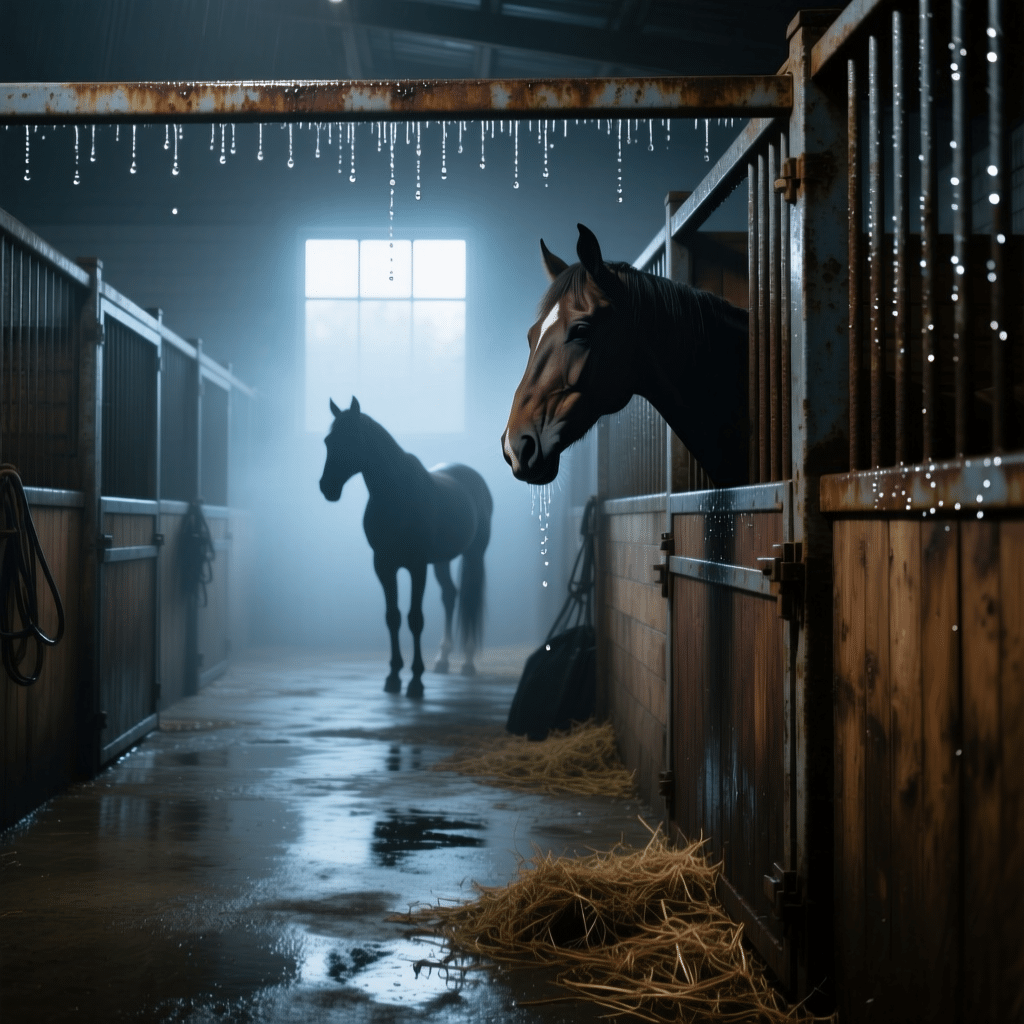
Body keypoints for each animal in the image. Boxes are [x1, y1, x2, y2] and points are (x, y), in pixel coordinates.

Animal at [319, 397, 493, 698]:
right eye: (328, 440)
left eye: (353, 438)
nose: (326, 487)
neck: (396, 495)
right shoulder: (383, 565)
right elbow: (393, 617)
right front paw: (393, 676)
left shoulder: (416, 566)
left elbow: (415, 619)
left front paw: (416, 681)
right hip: (442, 560)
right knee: (450, 595)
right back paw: (443, 659)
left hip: (473, 554)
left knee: (468, 598)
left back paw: (468, 662)